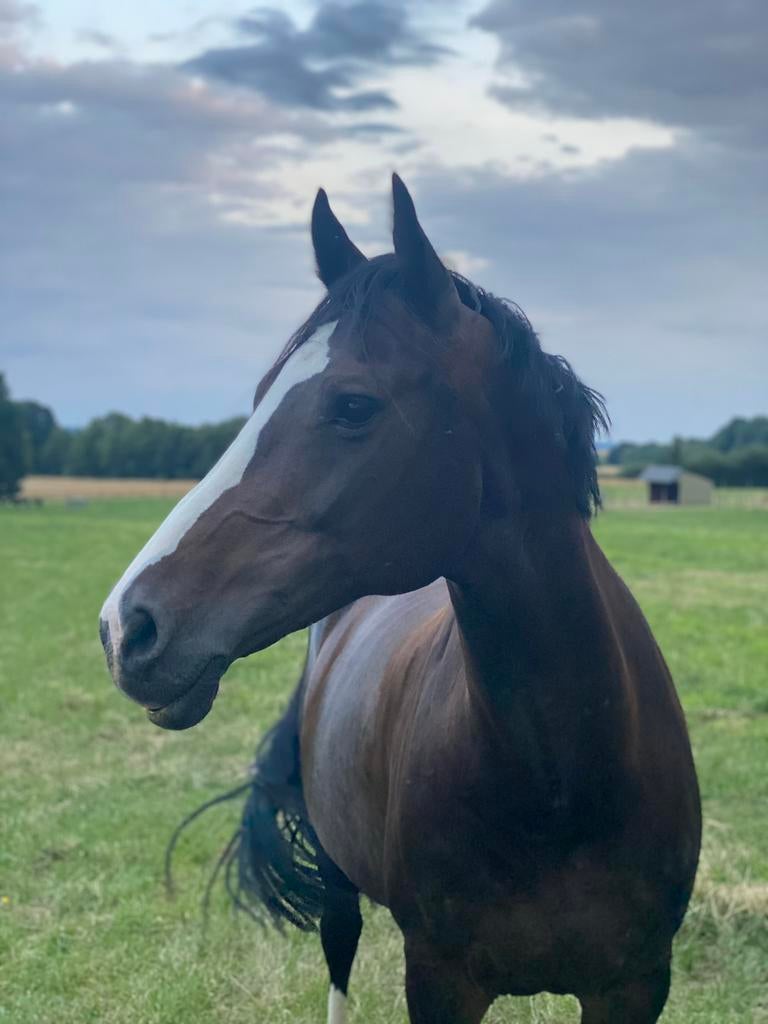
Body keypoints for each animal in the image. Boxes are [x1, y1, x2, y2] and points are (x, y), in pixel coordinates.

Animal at [100, 174, 702, 1023]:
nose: (127, 627)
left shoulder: (636, 984)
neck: (564, 779)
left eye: (354, 406)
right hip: (336, 875)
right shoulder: (442, 981)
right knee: (339, 947)